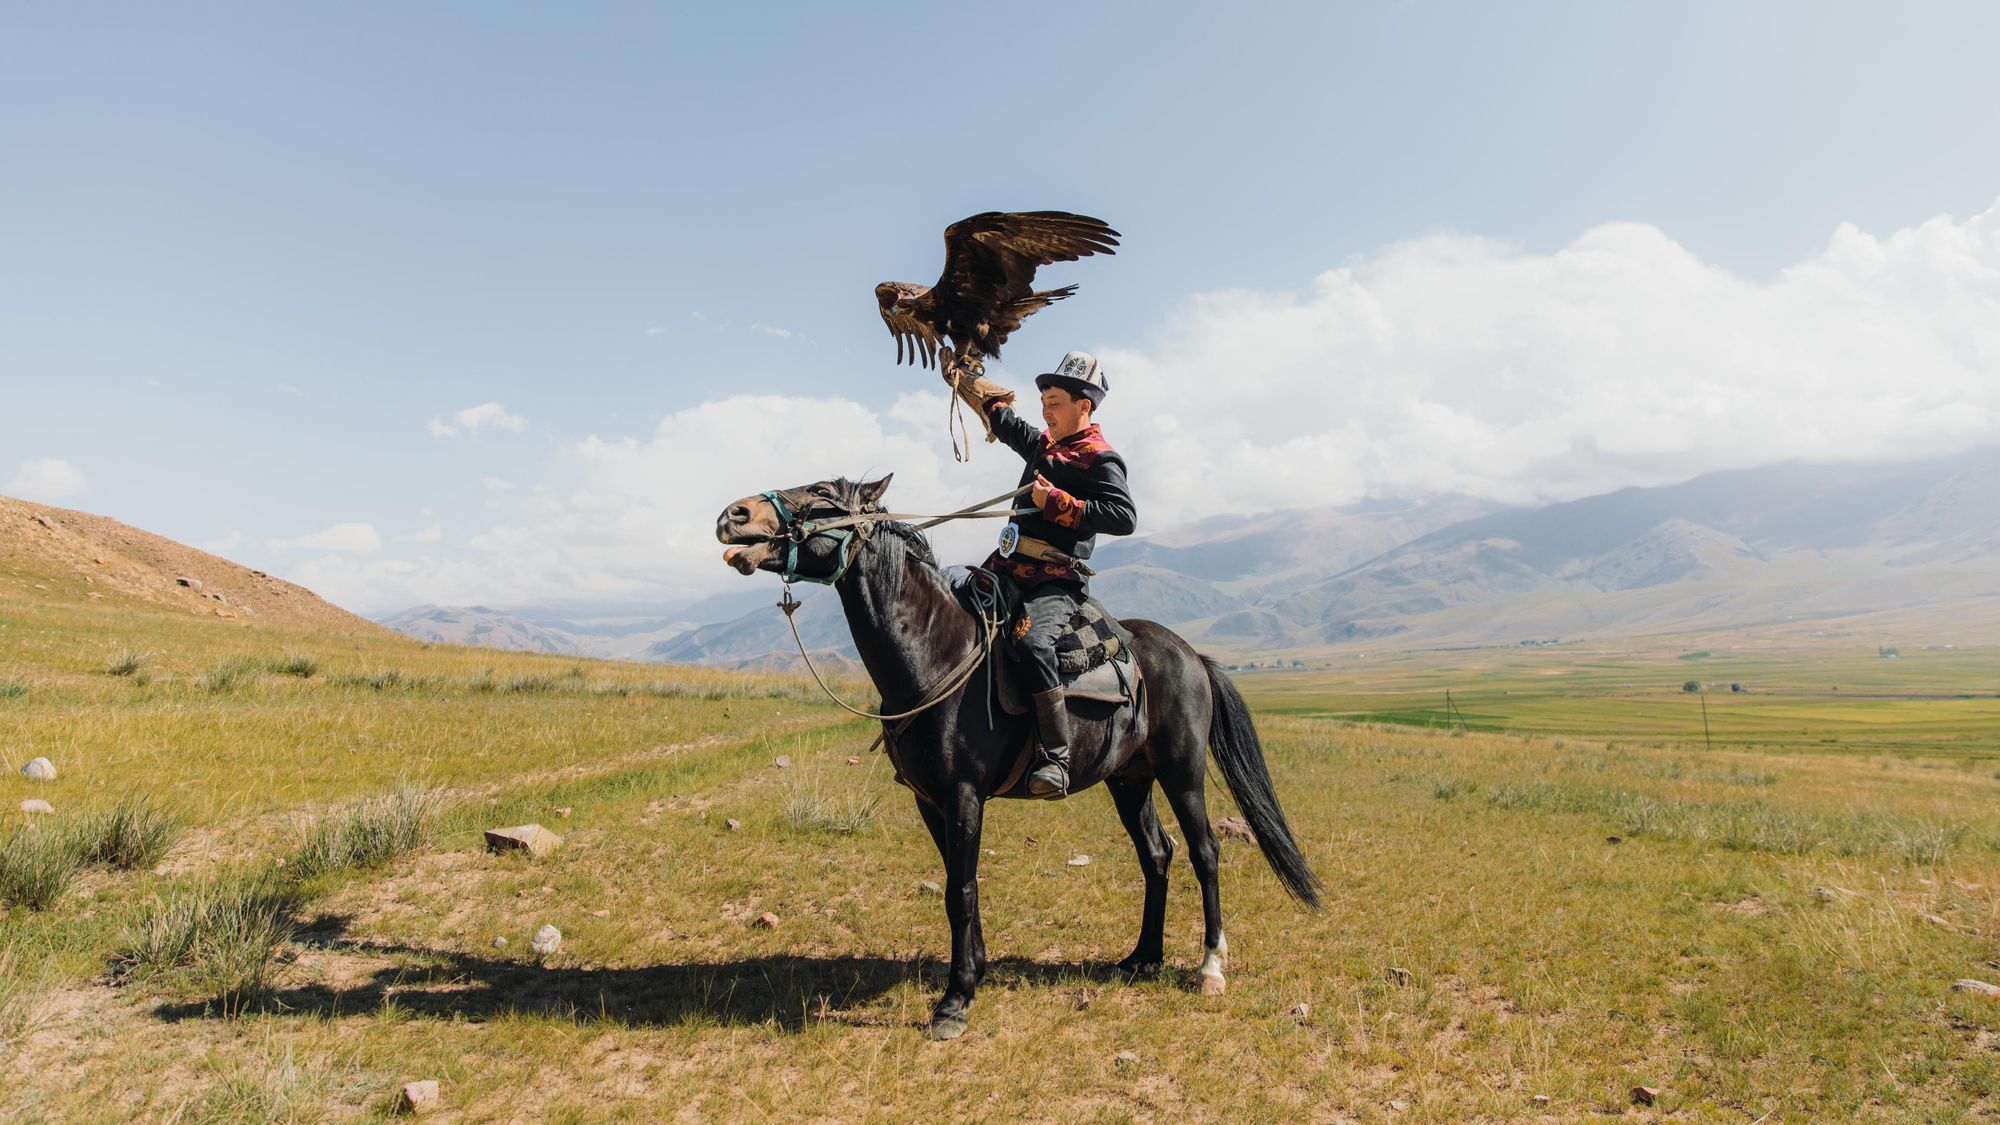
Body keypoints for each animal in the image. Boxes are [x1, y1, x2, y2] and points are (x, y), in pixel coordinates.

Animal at [712, 470, 1320, 1032]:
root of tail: (1191, 654)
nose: (733, 514)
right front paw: (974, 972)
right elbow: (961, 884)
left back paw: (1209, 967)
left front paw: (955, 1002)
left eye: (820, 495)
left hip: (1182, 770)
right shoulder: (929, 800)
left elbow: (959, 889)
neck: (934, 653)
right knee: (1157, 854)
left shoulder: (963, 794)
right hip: (1130, 779)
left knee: (1204, 851)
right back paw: (1142, 957)